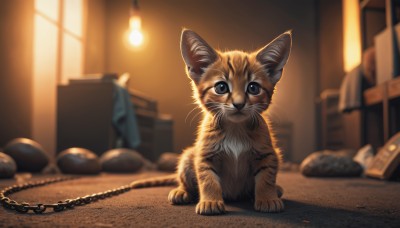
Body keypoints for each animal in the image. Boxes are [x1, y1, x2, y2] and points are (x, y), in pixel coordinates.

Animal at [133, 29, 292, 216]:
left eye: (253, 88)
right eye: (221, 87)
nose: (239, 104)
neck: (235, 129)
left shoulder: (267, 153)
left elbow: (266, 177)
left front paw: (267, 198)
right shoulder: (205, 155)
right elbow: (207, 179)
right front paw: (210, 201)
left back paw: (275, 190)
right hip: (189, 156)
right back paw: (182, 191)